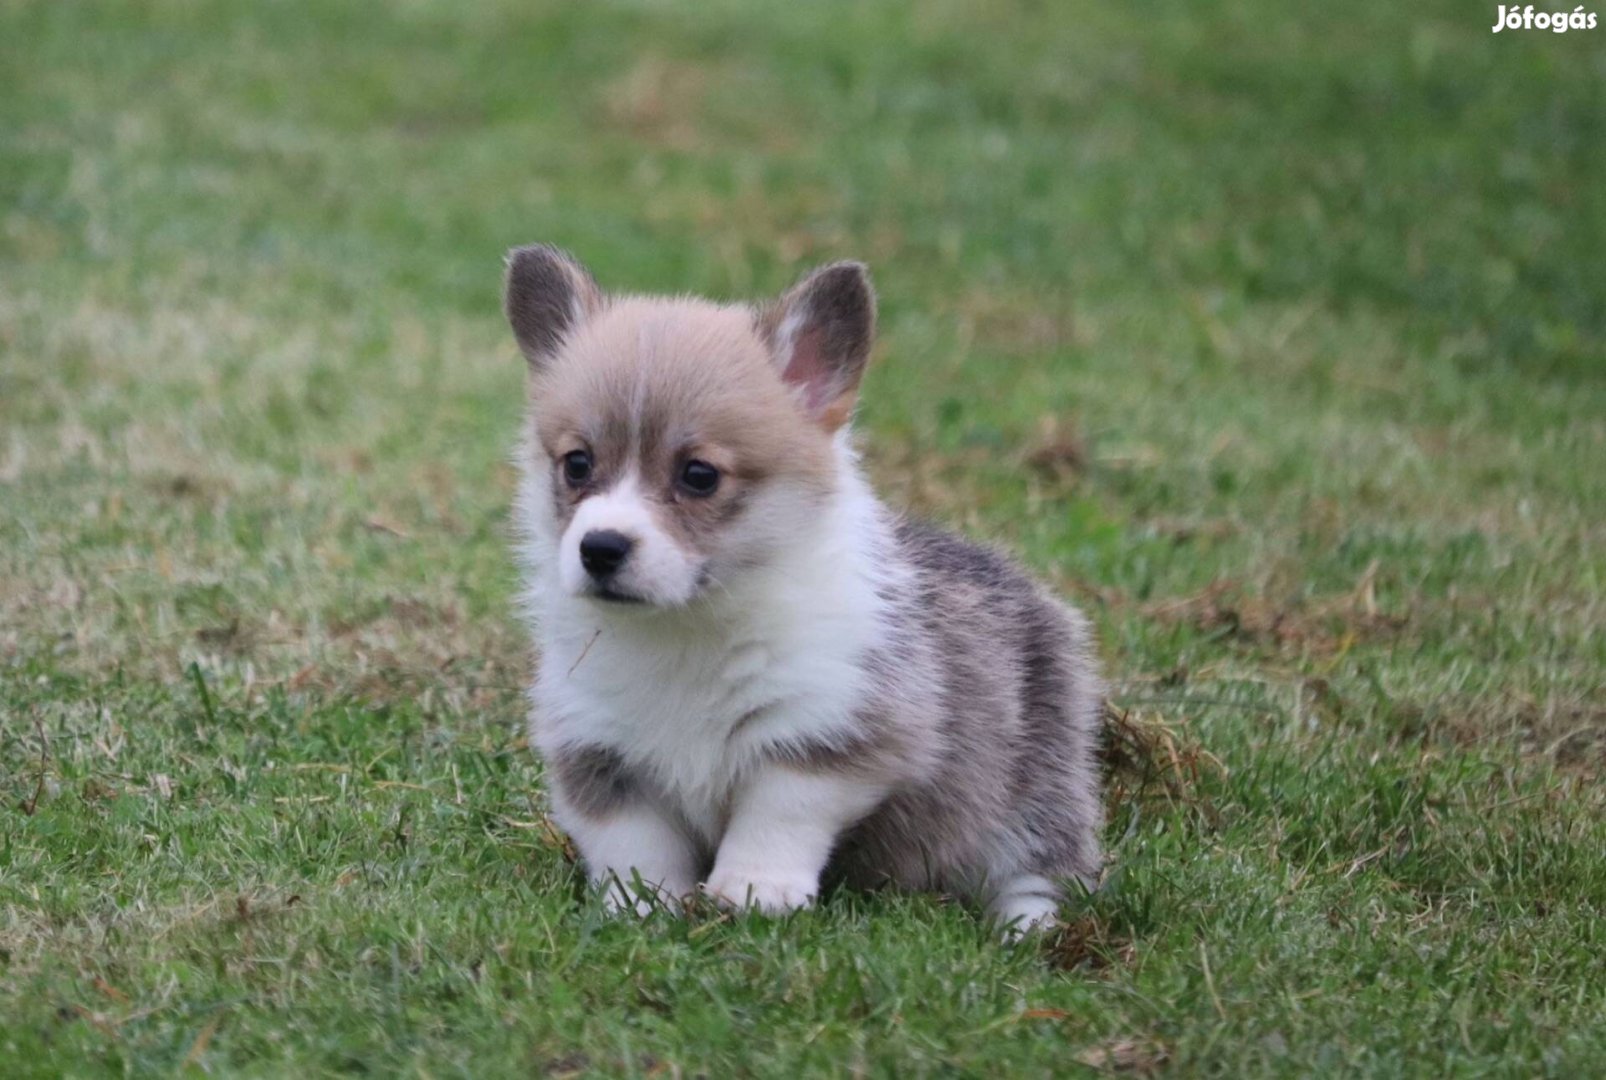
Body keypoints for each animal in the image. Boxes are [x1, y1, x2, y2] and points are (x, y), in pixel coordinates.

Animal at [504, 249, 1104, 932]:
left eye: (699, 475)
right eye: (577, 464)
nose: (600, 548)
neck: (685, 627)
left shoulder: (827, 729)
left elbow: (777, 815)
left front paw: (753, 890)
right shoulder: (596, 749)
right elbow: (634, 841)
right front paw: (644, 904)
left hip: (1038, 784)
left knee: (1038, 870)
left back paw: (1026, 929)